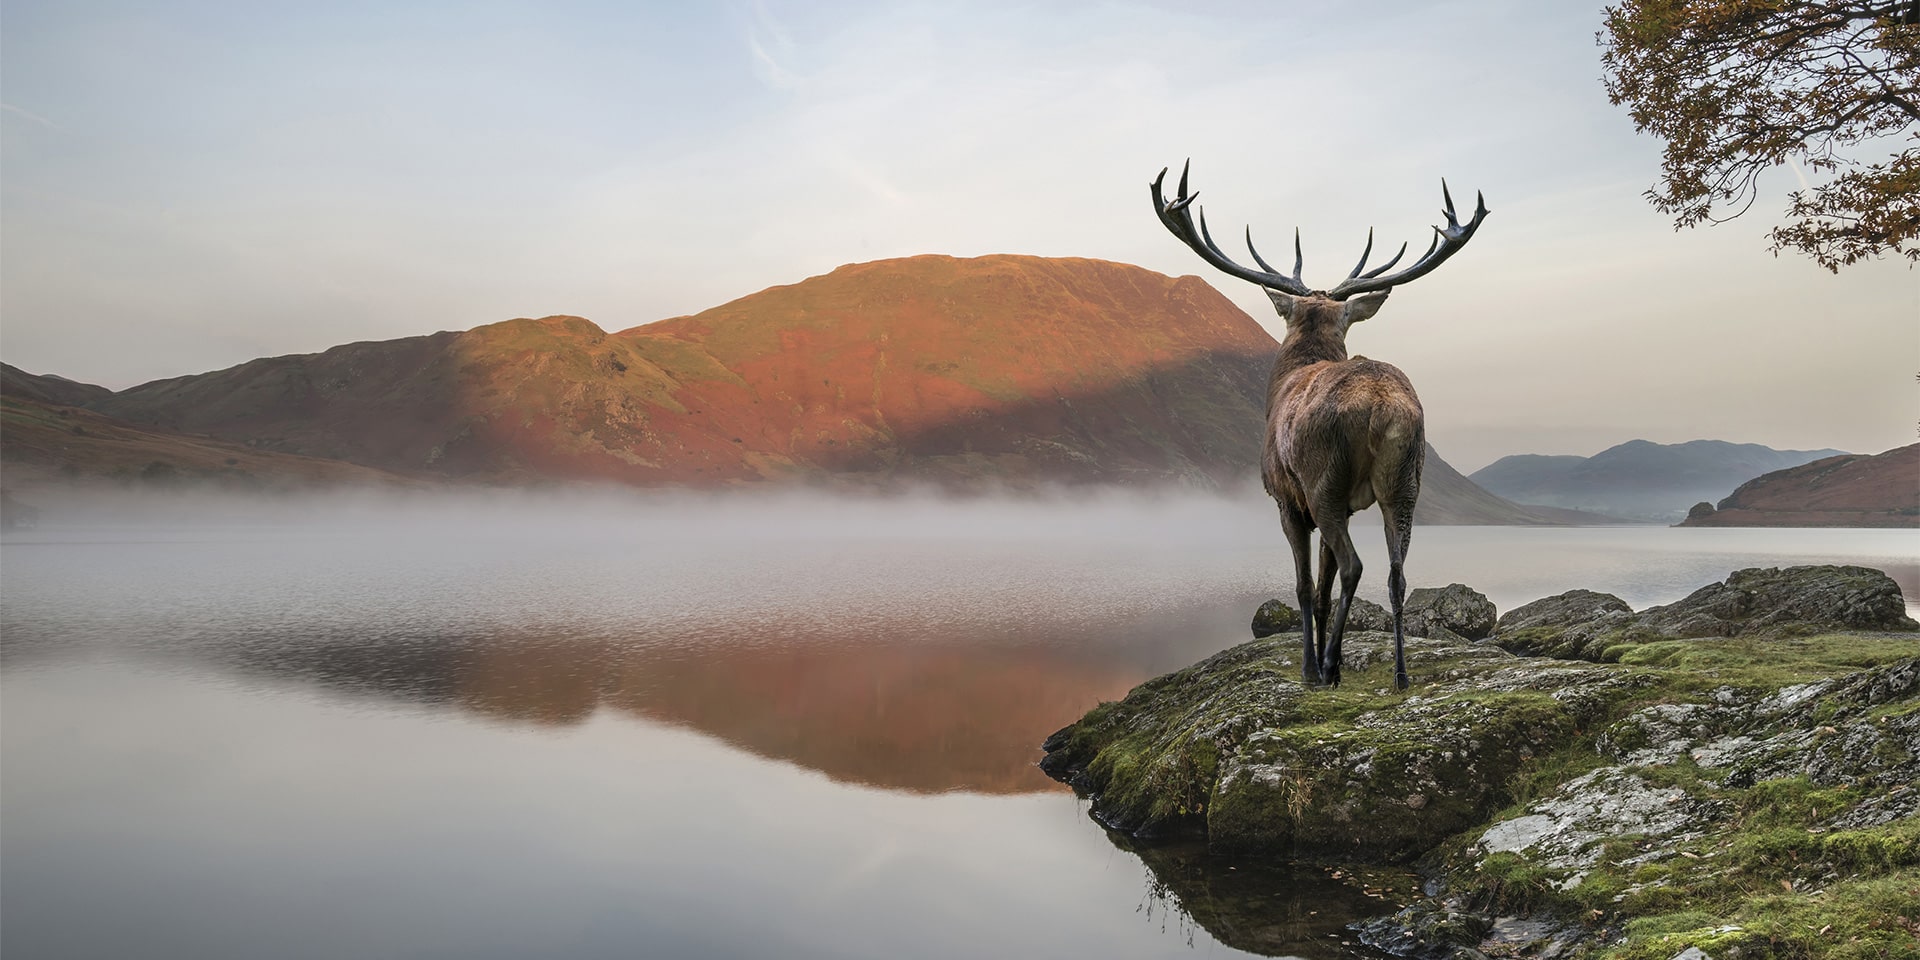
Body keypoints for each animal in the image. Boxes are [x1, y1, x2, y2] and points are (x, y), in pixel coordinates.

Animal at [1150, 161, 1488, 691]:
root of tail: (1381, 406)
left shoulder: (1288, 500)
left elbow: (1307, 586)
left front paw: (1312, 666)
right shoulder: (1349, 505)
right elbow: (1326, 589)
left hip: (1324, 480)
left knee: (1354, 565)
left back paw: (1326, 665)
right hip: (1405, 483)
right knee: (1396, 574)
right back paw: (1400, 673)